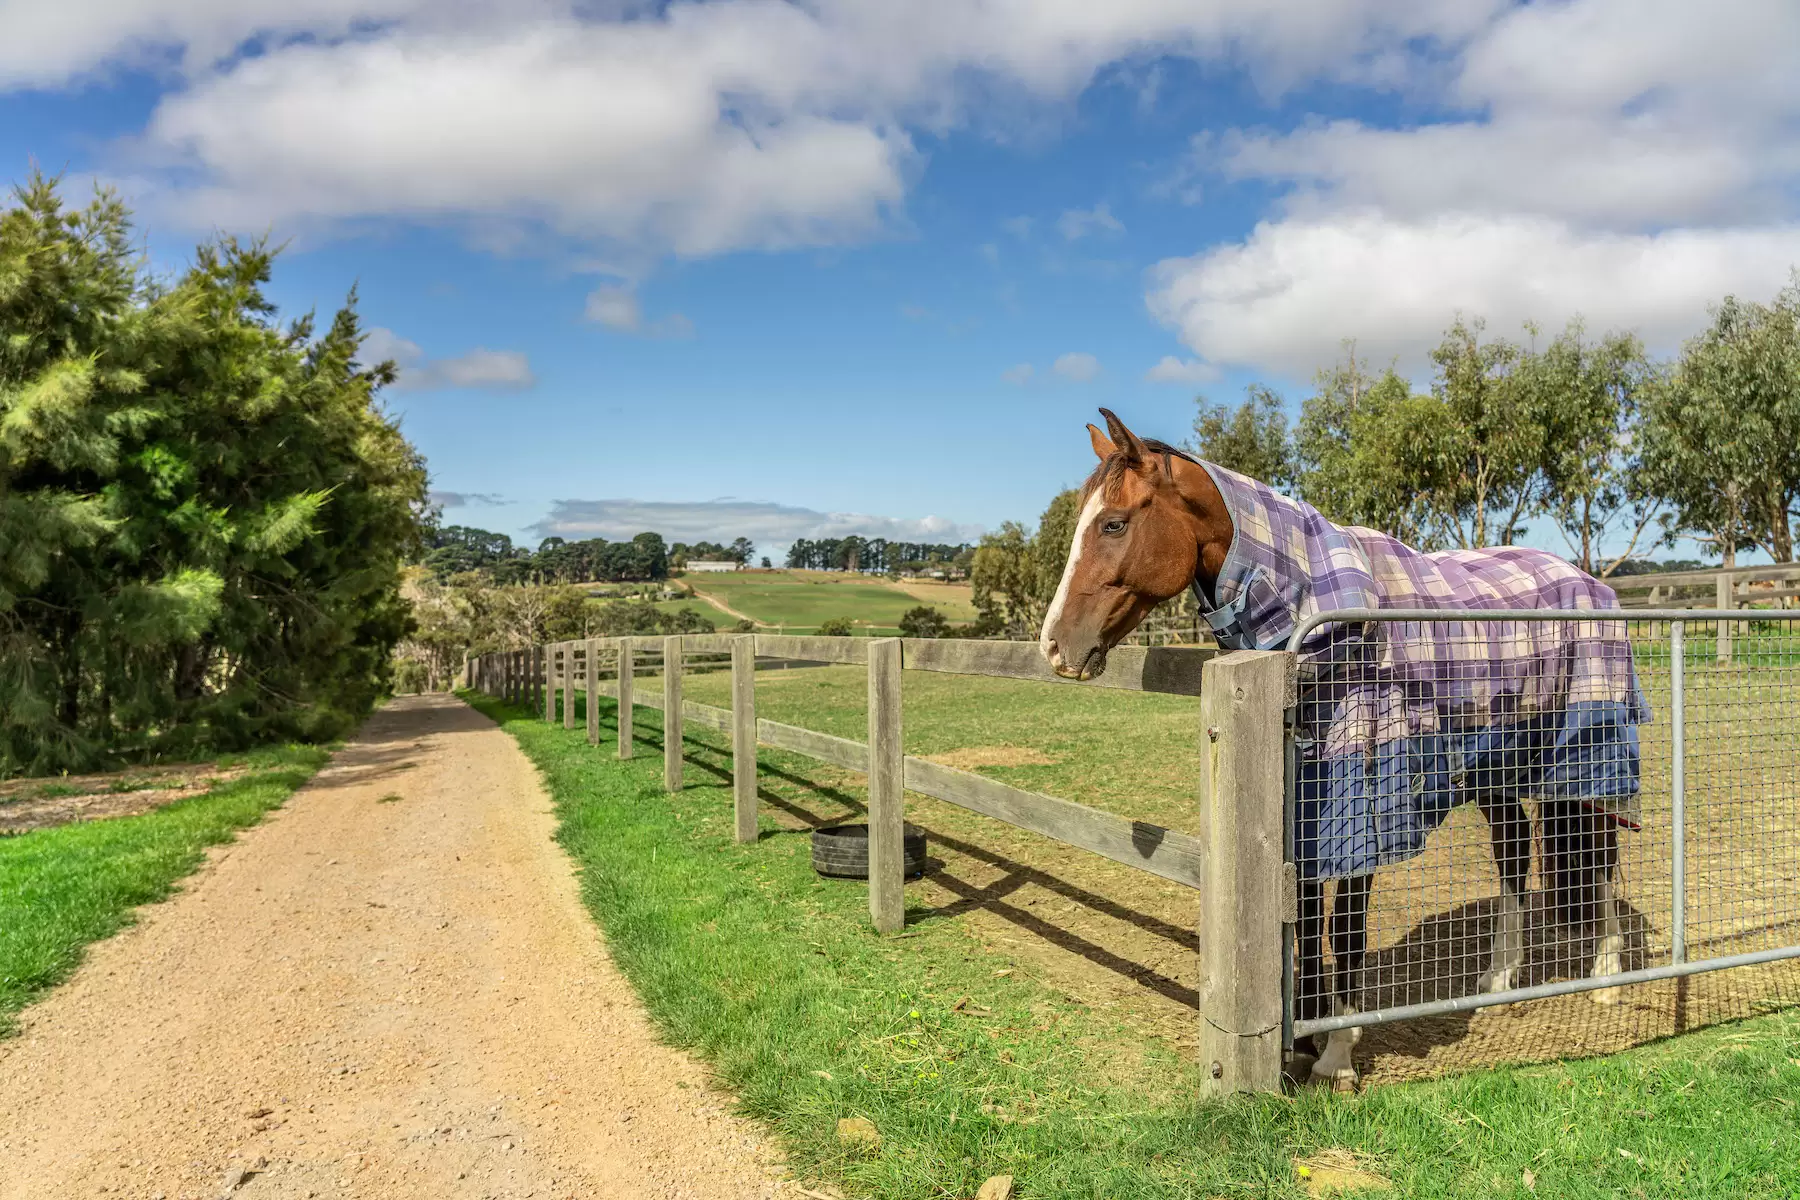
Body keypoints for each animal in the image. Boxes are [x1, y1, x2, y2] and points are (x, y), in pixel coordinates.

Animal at [1044, 410, 1648, 1086]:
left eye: (1114, 523)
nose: (1054, 645)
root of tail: (1586, 580)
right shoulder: (1304, 797)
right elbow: (1306, 919)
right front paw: (1304, 1033)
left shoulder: (1363, 795)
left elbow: (1345, 924)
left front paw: (1337, 1052)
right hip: (1497, 762)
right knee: (1515, 853)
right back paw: (1498, 981)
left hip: (1586, 752)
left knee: (1600, 854)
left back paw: (1606, 978)